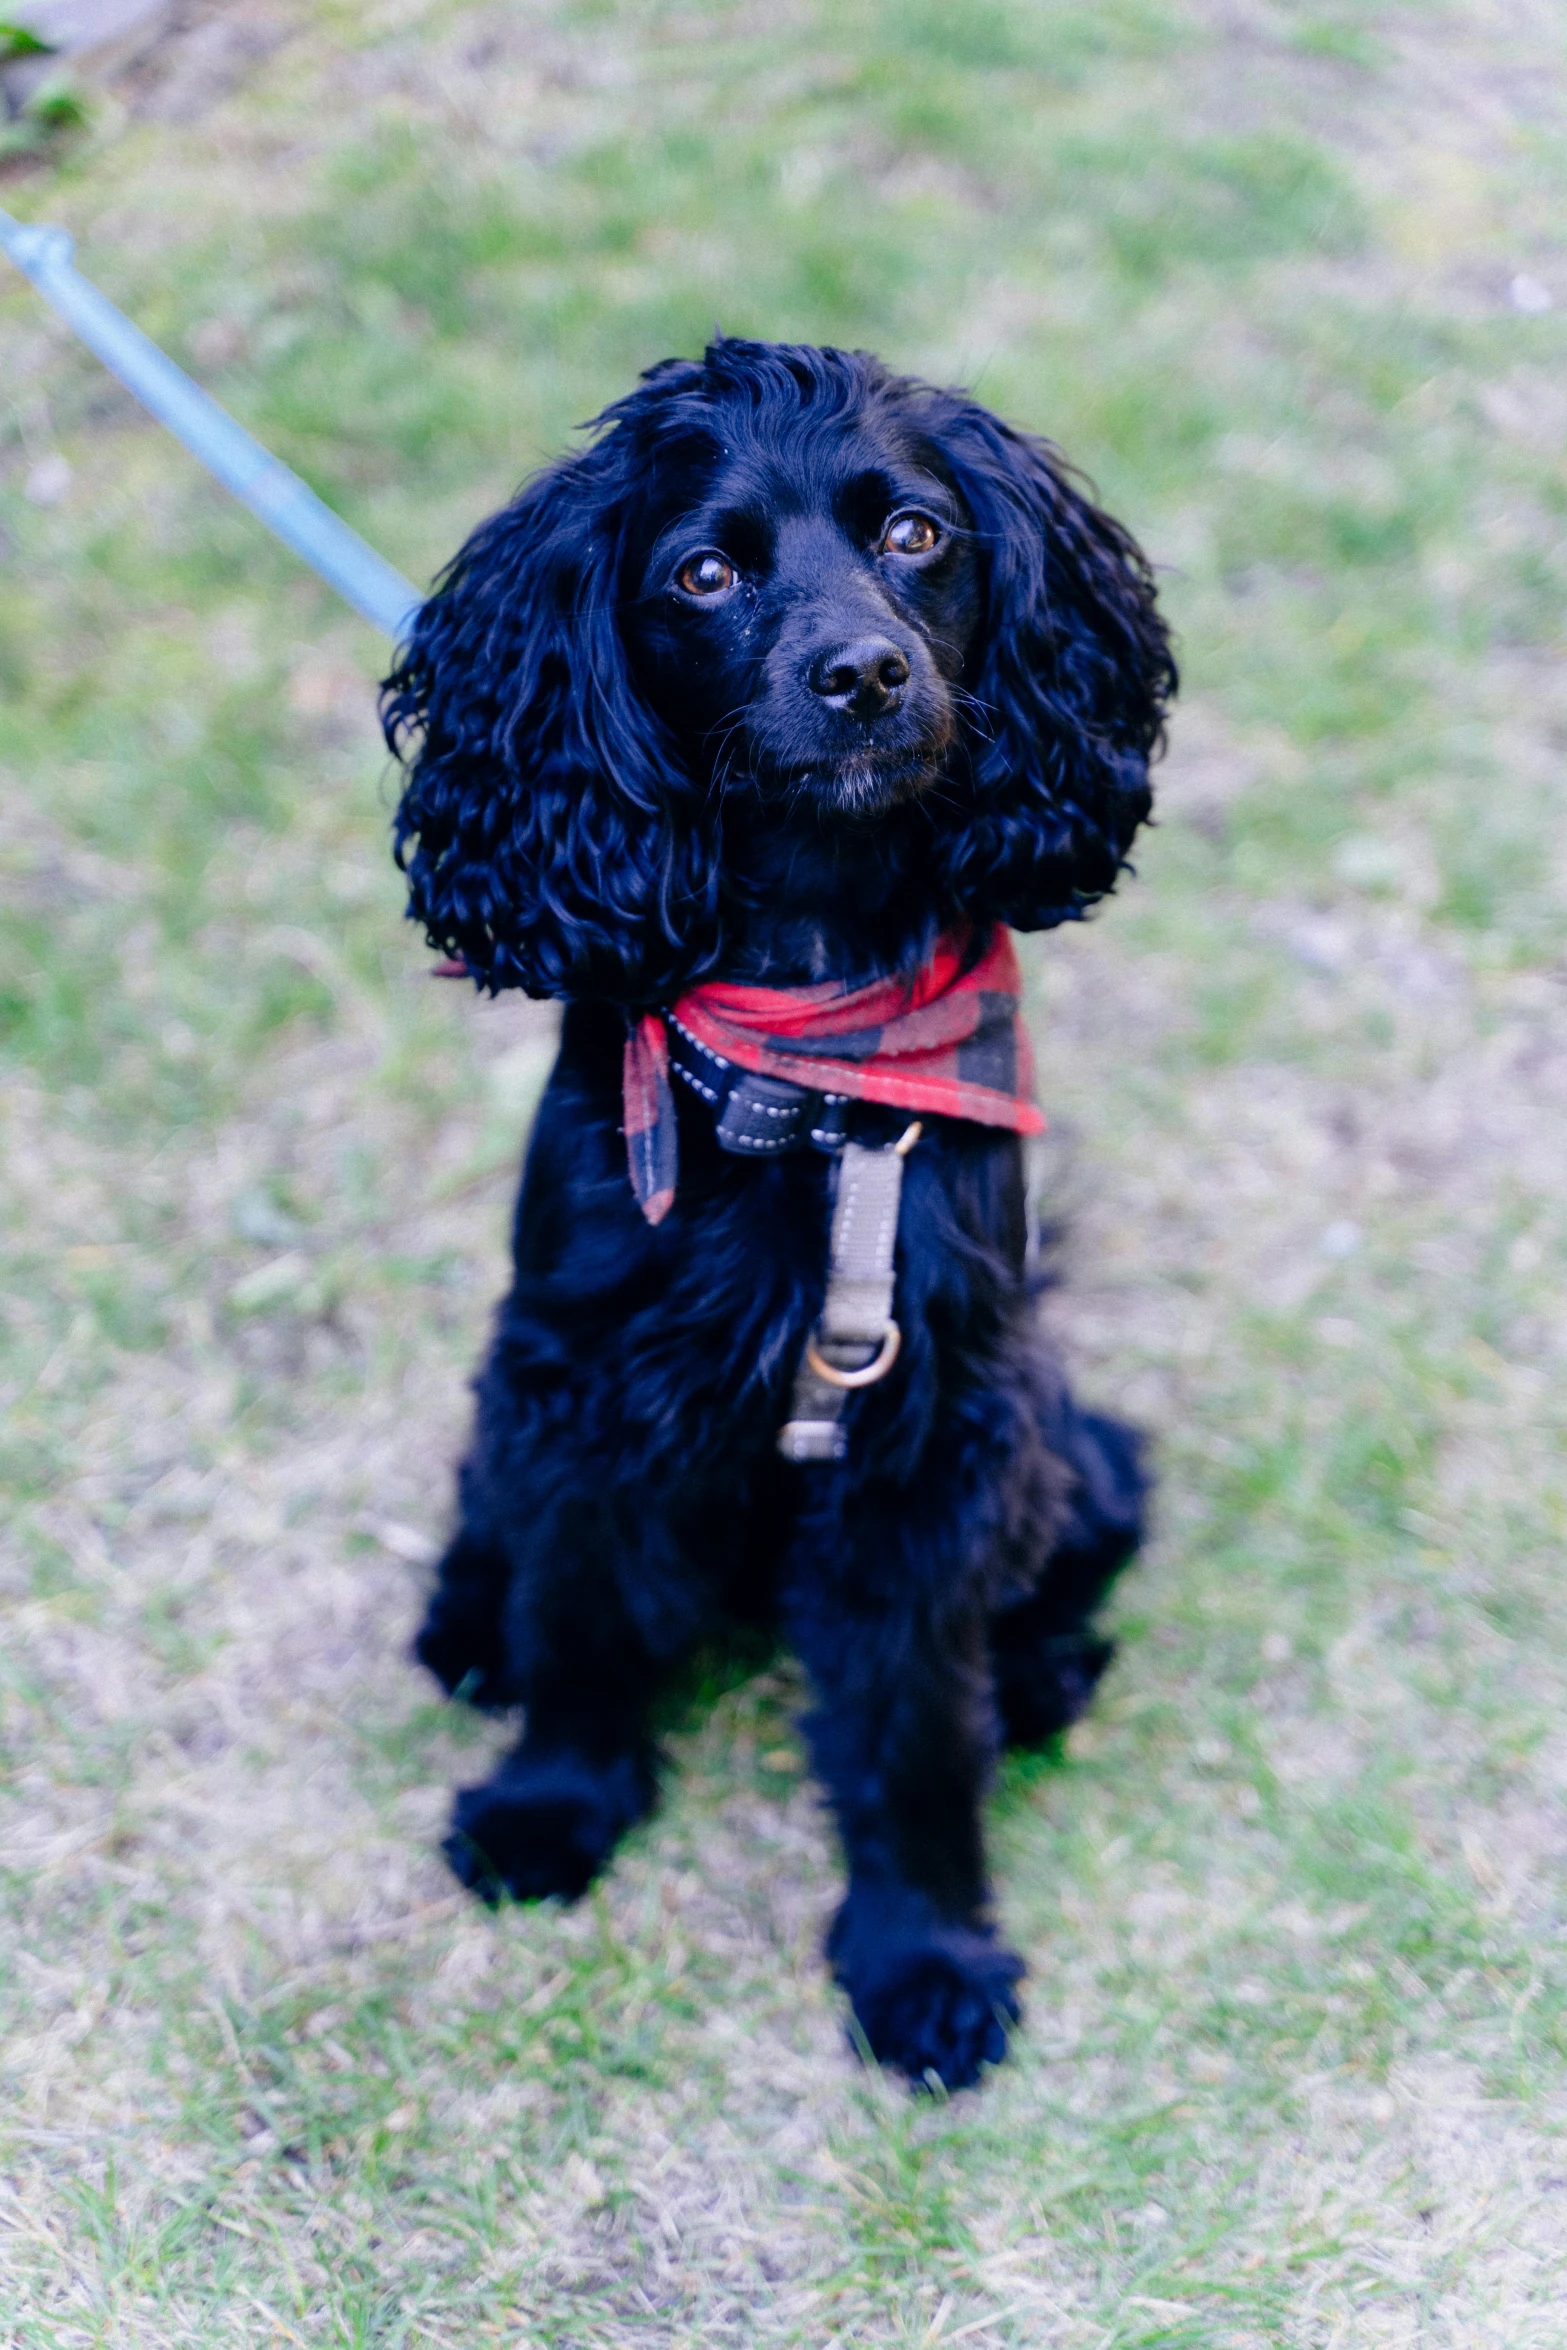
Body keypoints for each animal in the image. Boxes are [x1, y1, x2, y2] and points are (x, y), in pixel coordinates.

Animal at [385, 336, 1174, 2096]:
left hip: (1059, 1430)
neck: (802, 1055)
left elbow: (915, 1727)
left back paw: (1043, 1667)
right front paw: (550, 1806)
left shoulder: (934, 1429)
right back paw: (466, 1621)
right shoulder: (582, 1375)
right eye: (703, 572)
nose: (863, 674)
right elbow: (578, 1607)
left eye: (915, 536)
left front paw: (922, 1959)